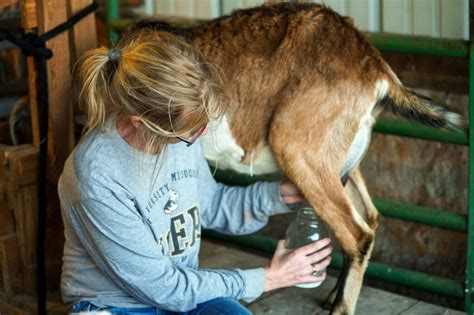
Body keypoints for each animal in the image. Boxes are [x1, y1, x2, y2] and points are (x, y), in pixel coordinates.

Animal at [132, 3, 462, 315]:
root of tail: (375, 68)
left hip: (299, 148)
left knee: (357, 233)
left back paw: (339, 307)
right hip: (341, 158)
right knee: (368, 215)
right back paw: (332, 297)